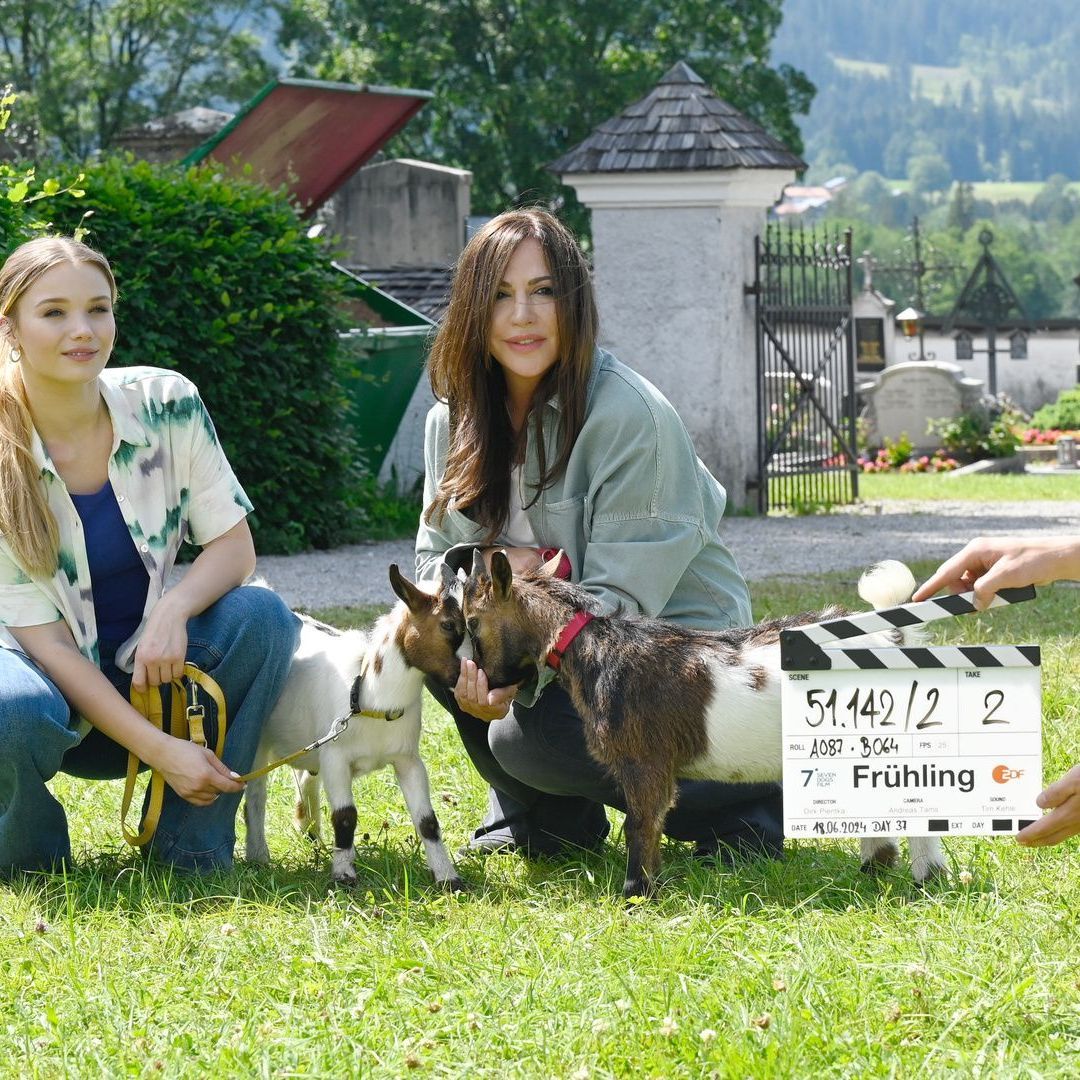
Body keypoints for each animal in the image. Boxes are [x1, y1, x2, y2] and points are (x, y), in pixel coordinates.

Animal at [247, 570, 466, 889]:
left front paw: (448, 878)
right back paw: (258, 856)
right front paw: (344, 875)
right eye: (448, 624)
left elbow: (427, 820)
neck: (368, 696)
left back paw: (311, 834)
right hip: (260, 741)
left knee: (306, 777)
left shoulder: (408, 759)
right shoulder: (335, 758)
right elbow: (345, 816)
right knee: (256, 794)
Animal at [464, 552, 946, 898]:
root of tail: (892, 638)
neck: (592, 645)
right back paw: (876, 868)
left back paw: (925, 878)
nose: (478, 683)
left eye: (471, 621)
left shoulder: (644, 761)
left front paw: (636, 893)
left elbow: (641, 822)